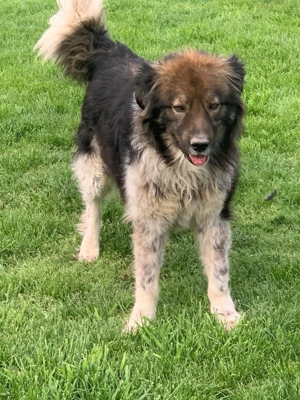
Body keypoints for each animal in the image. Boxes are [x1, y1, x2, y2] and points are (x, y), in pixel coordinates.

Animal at [35, 0, 246, 332]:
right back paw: (89, 248)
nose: (200, 145)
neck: (179, 169)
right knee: (92, 208)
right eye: (178, 107)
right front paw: (141, 321)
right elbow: (147, 279)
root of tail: (109, 52)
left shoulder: (214, 216)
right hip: (94, 168)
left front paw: (224, 313)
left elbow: (219, 273)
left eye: (214, 105)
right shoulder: (148, 220)